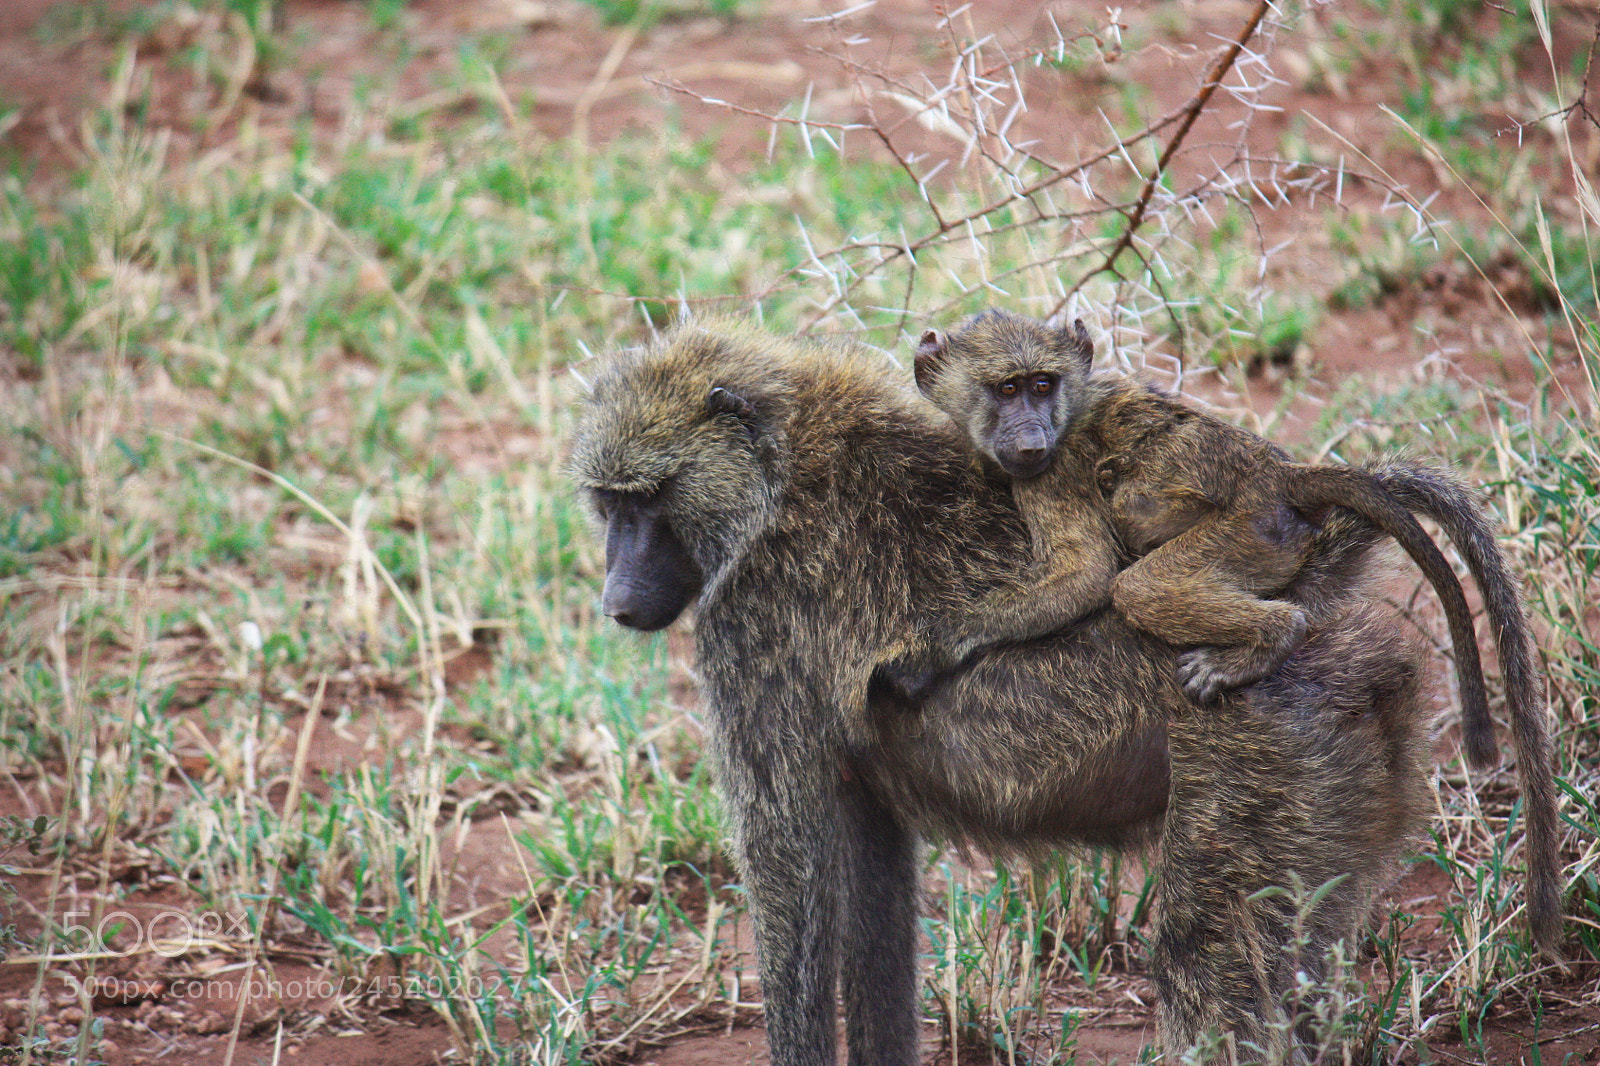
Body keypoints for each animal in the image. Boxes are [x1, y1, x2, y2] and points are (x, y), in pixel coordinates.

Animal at [567, 319, 1562, 1065]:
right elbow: (870, 897)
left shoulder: (750, 627)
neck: (779, 470)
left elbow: (788, 879)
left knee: (1207, 961)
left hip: (1269, 749)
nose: (616, 599)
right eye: (609, 503)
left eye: (647, 500)